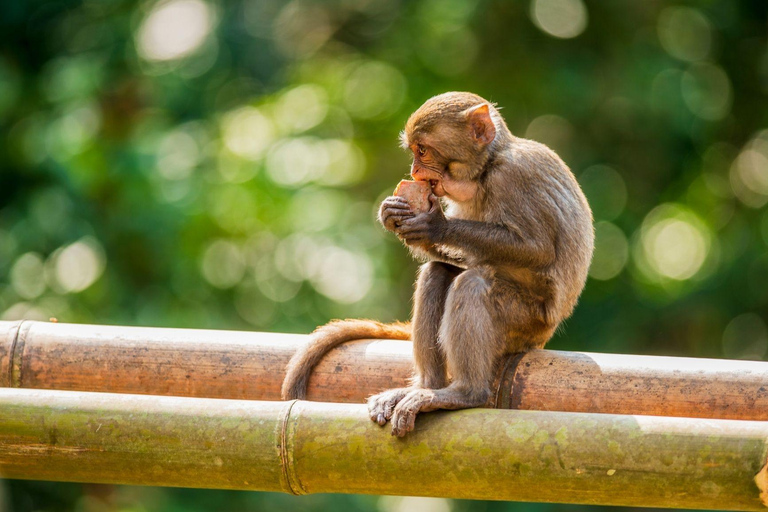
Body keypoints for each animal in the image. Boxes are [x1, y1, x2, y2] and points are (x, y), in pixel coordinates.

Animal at [282, 91, 592, 436]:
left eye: (423, 150)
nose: (416, 172)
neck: (486, 170)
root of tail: (543, 338)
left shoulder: (513, 176)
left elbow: (537, 249)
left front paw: (434, 226)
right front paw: (395, 217)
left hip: (524, 325)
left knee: (472, 284)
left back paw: (465, 393)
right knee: (438, 273)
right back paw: (427, 386)